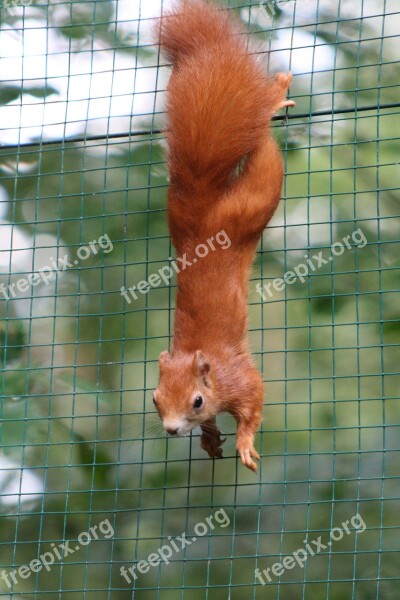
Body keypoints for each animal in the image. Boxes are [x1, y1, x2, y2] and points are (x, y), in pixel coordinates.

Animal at [152, 0, 294, 472]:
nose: (171, 429)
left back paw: (273, 99)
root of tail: (200, 206)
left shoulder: (240, 377)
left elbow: (254, 402)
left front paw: (243, 442)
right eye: (155, 399)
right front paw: (210, 438)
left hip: (255, 199)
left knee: (265, 148)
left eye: (197, 400)